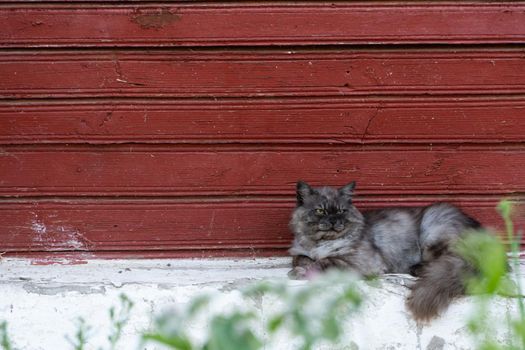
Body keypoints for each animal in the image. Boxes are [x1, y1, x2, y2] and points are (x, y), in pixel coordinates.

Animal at [288, 182, 482, 322]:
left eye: (342, 211)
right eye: (320, 210)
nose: (335, 221)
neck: (320, 243)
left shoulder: (363, 262)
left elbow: (327, 261)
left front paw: (302, 272)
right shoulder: (301, 252)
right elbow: (301, 258)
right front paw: (298, 269)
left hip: (433, 231)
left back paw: (416, 269)